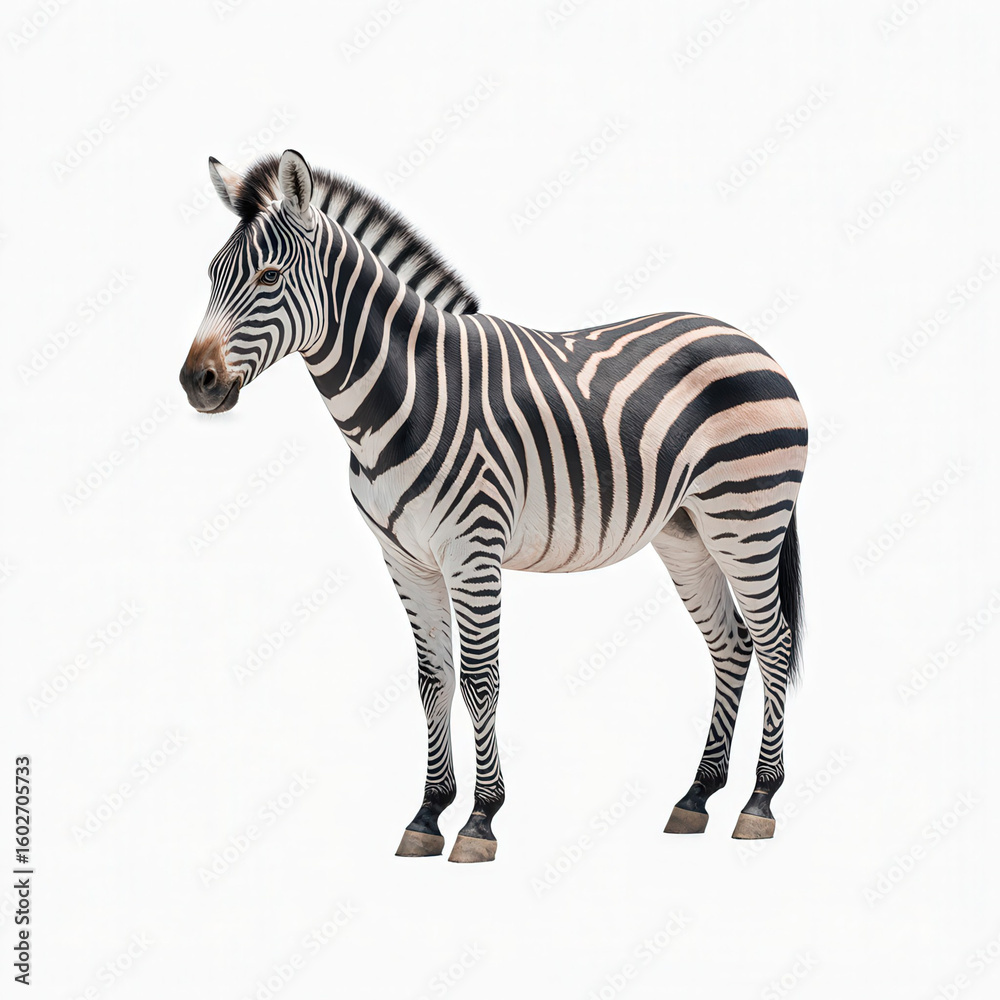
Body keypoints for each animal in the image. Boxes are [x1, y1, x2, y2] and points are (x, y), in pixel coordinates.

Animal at [179, 149, 807, 863]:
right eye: (211, 275)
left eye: (269, 276)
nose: (195, 383)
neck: (405, 397)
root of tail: (745, 338)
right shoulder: (406, 559)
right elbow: (433, 677)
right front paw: (428, 812)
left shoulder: (472, 550)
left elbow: (481, 679)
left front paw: (480, 818)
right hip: (688, 534)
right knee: (732, 645)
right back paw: (697, 796)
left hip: (747, 518)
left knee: (776, 643)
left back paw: (759, 800)